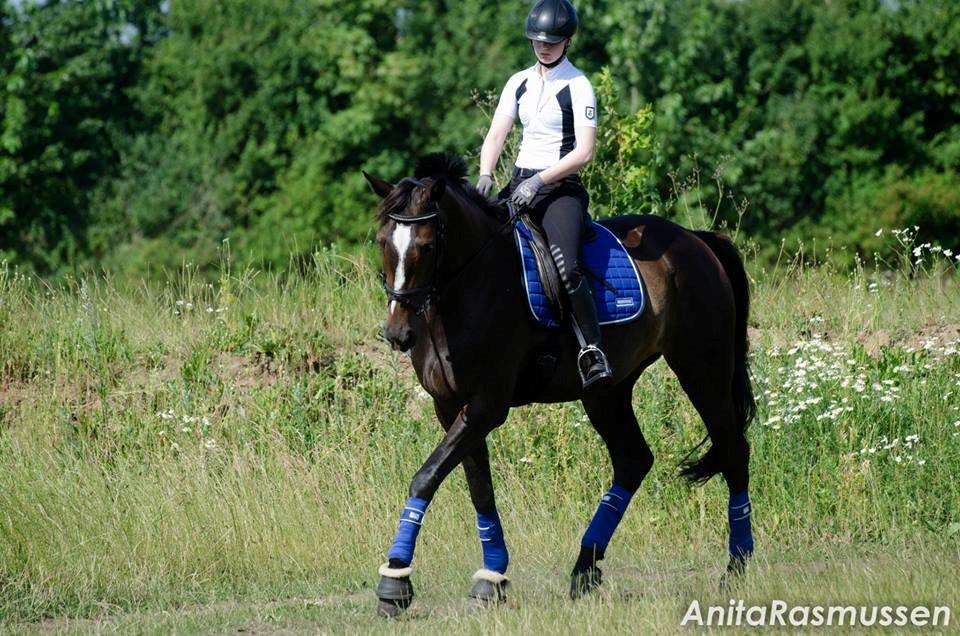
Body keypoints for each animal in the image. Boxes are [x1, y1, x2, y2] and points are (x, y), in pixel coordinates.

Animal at [364, 150, 752, 616]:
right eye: (383, 242)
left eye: (425, 246)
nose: (398, 334)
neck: (468, 289)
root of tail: (695, 240)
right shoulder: (451, 406)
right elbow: (479, 488)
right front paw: (490, 578)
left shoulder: (486, 406)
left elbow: (426, 477)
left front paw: (395, 580)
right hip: (607, 392)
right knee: (633, 459)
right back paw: (584, 568)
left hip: (702, 369)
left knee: (733, 452)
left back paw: (736, 568)